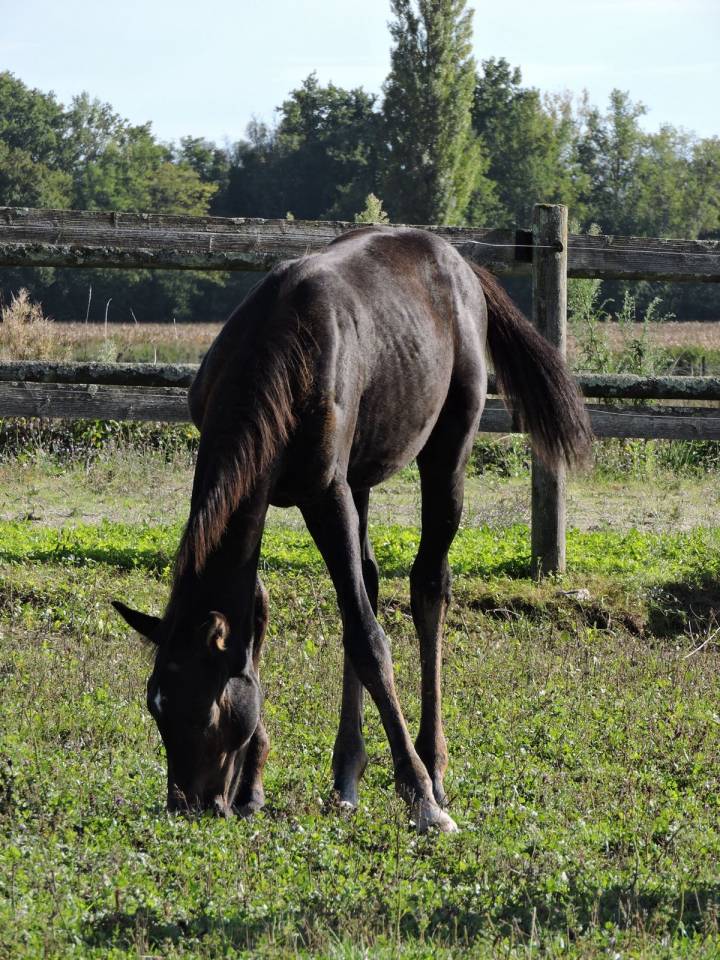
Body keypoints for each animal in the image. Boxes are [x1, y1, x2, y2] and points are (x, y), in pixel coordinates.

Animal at [112, 225, 592, 832]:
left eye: (206, 710)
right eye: (156, 705)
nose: (189, 804)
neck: (275, 353)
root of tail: (459, 261)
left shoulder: (325, 493)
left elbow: (369, 639)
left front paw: (420, 797)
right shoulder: (270, 497)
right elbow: (264, 617)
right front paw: (253, 788)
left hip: (445, 452)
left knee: (427, 585)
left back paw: (433, 769)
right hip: (362, 477)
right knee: (368, 581)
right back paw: (347, 774)